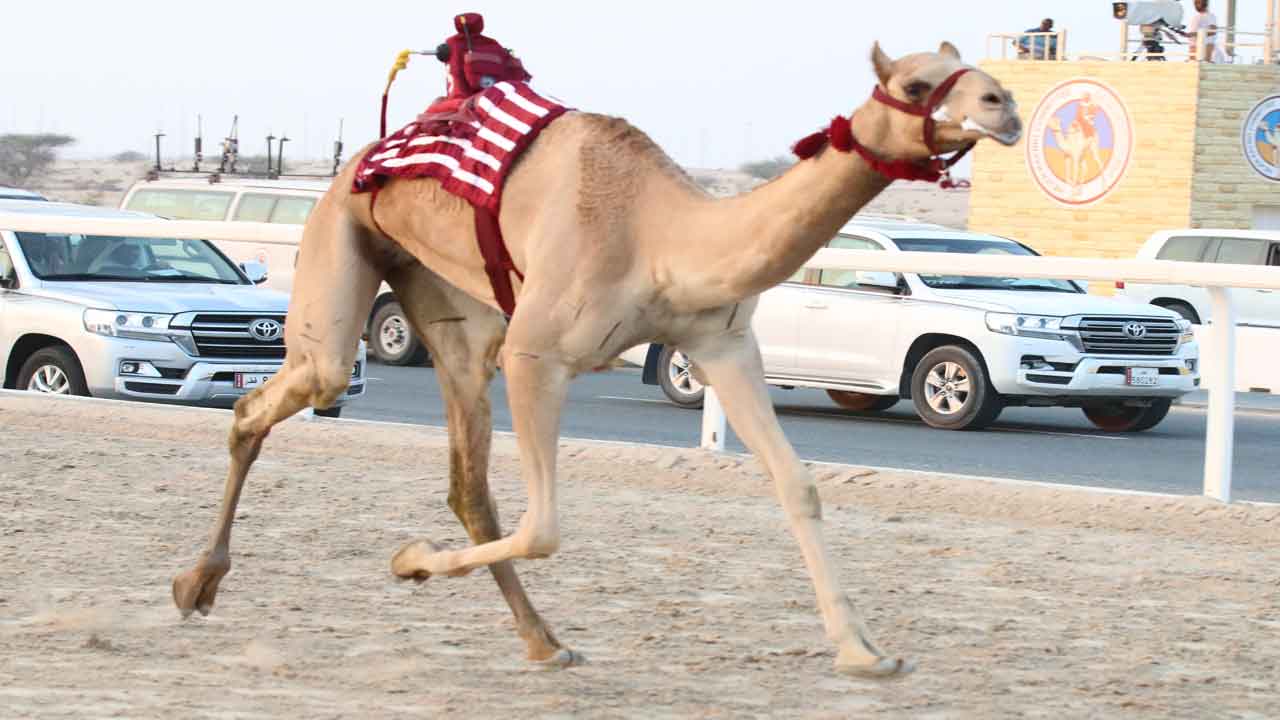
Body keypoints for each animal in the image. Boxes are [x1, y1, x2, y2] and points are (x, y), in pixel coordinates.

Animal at [172, 41, 1021, 677]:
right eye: (916, 82)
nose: (1003, 105)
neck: (664, 237)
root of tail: (364, 157)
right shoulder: (538, 353)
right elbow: (546, 525)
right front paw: (408, 560)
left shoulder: (722, 343)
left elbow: (798, 486)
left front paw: (865, 652)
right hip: (344, 243)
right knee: (268, 400)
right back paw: (195, 583)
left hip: (452, 314)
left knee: (467, 483)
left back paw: (543, 641)